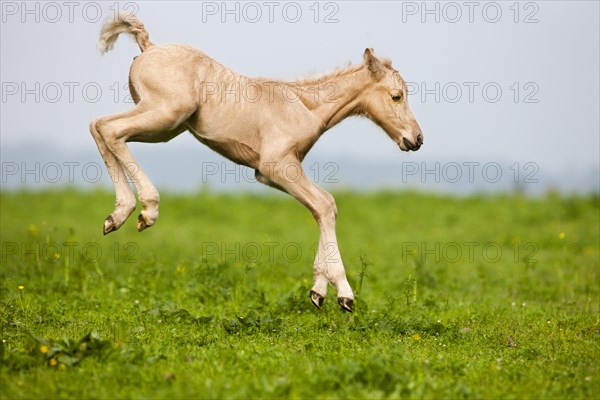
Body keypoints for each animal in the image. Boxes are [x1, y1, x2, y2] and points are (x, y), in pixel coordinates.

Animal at [91, 12, 424, 312]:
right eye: (396, 96)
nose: (416, 139)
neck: (305, 107)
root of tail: (149, 47)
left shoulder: (271, 174)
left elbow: (323, 206)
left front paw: (318, 290)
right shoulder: (277, 166)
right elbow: (325, 205)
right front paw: (343, 293)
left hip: (164, 128)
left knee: (100, 126)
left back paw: (117, 216)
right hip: (165, 115)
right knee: (109, 129)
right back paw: (146, 210)